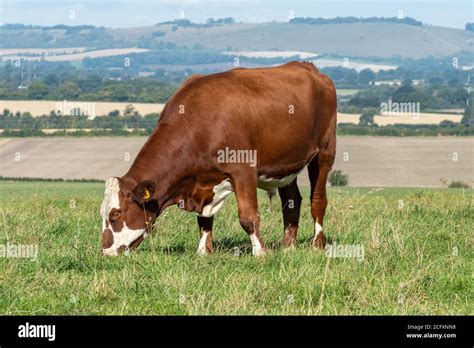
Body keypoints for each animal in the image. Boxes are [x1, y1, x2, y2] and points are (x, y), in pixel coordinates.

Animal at [100, 61, 336, 256]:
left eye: (116, 214)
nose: (105, 251)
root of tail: (308, 67)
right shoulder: (202, 181)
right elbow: (204, 220)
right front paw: (204, 251)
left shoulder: (243, 171)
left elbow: (248, 217)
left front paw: (260, 252)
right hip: (285, 165)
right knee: (292, 200)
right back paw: (288, 246)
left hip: (325, 152)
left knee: (318, 200)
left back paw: (317, 243)